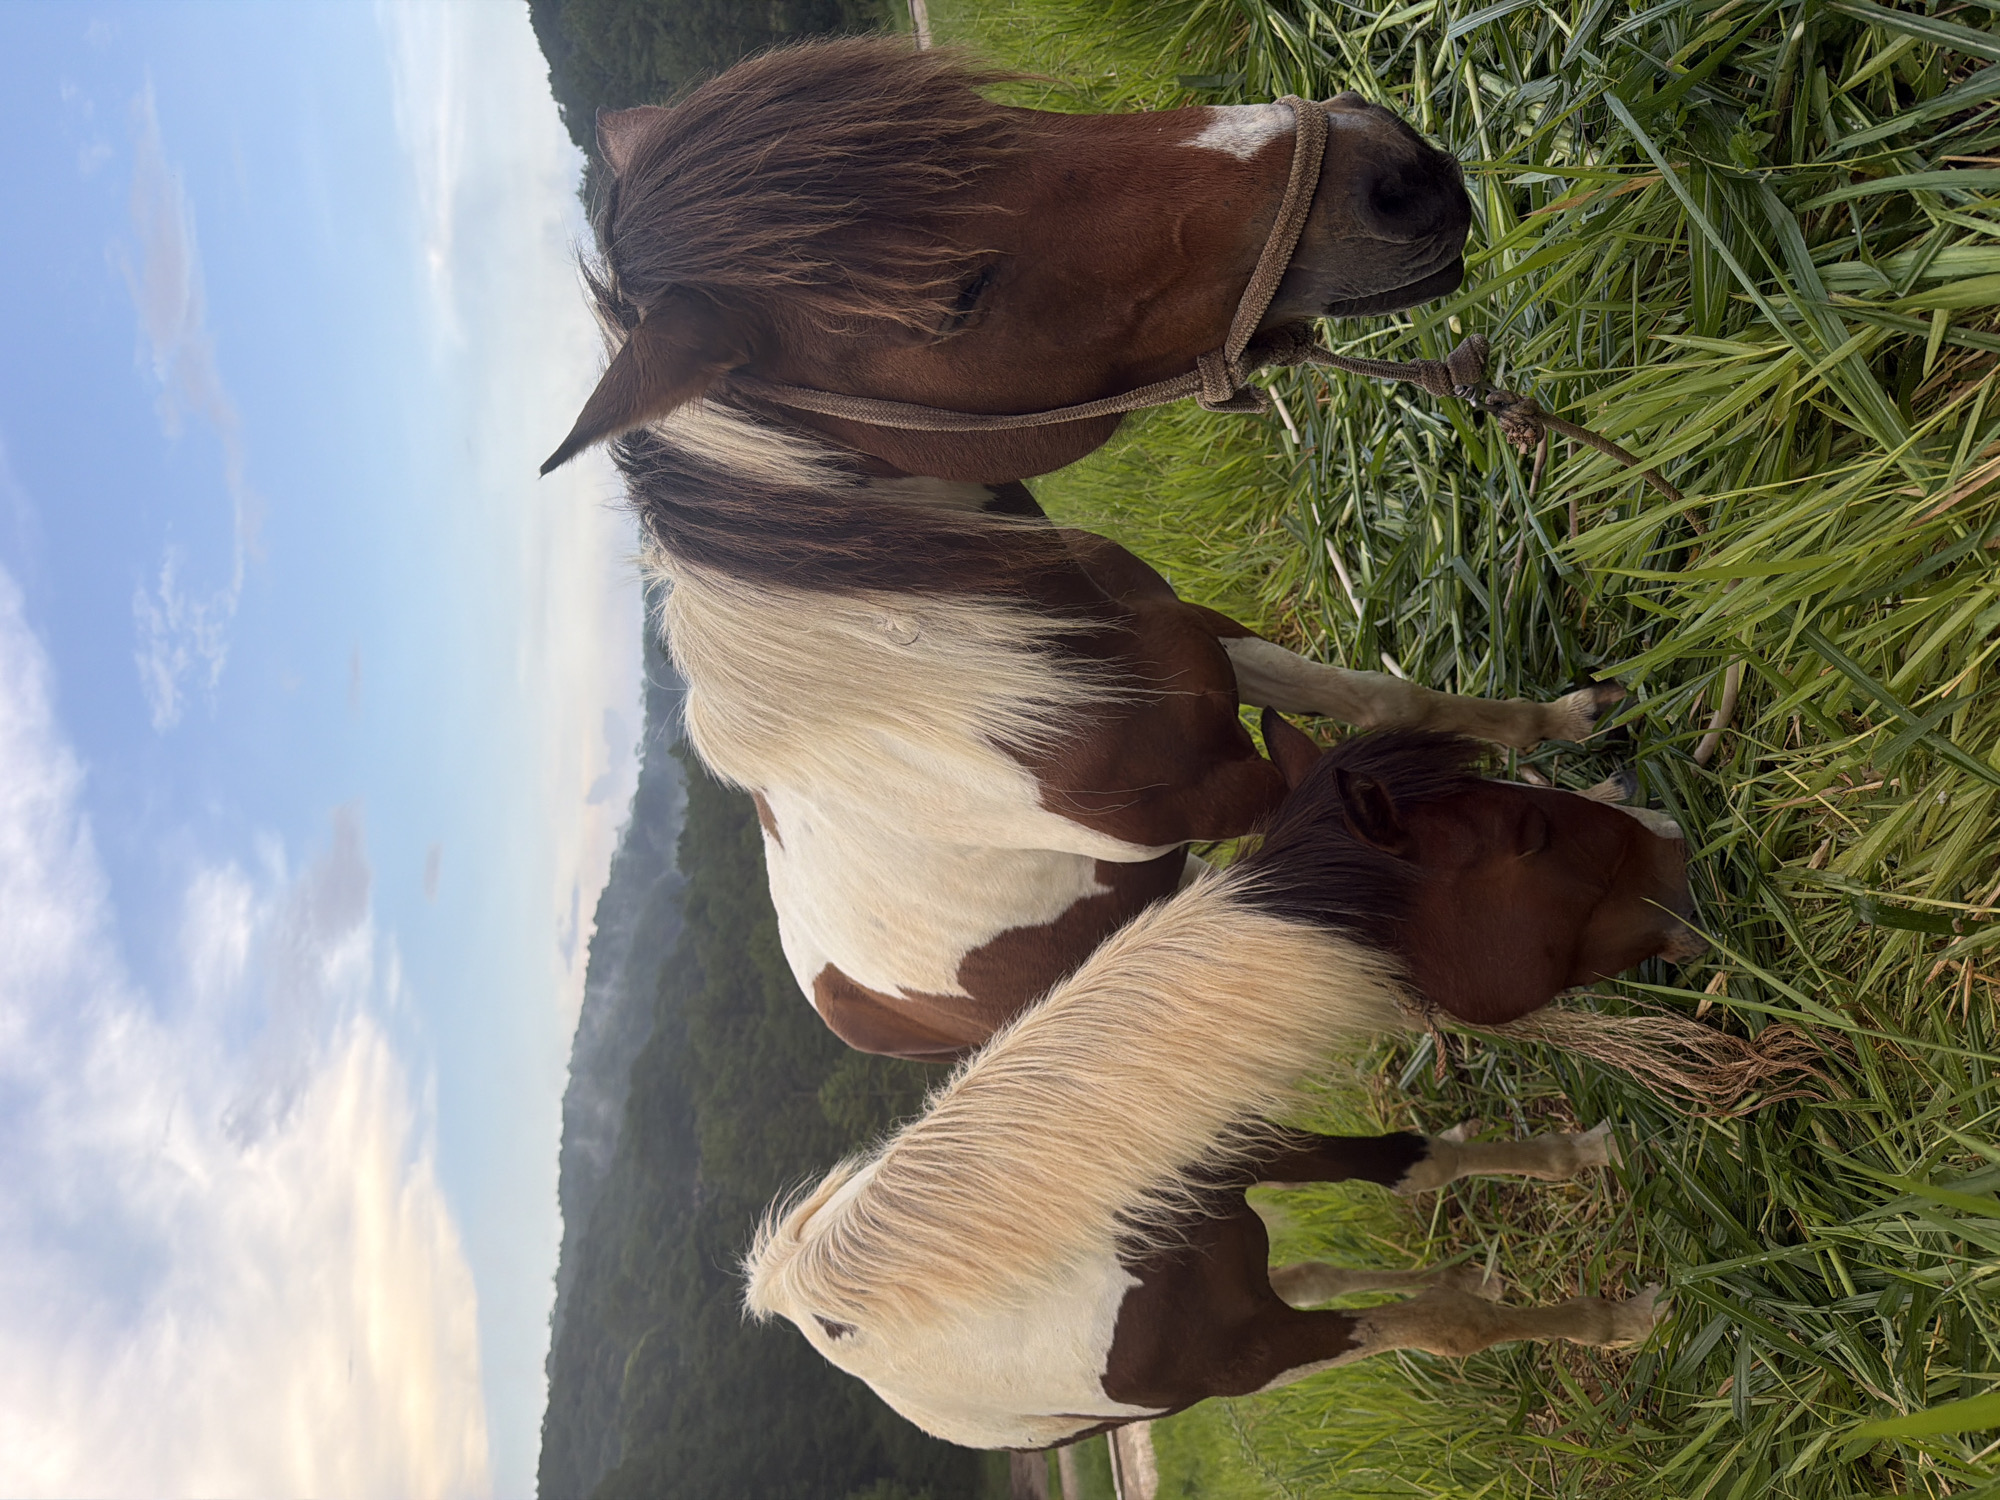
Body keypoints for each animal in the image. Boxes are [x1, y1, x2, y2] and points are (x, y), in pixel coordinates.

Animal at [542, 39, 1623, 1061]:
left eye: (995, 115)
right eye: (956, 299)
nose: (1395, 169)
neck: (984, 655)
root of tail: (831, 991)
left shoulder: (1204, 643)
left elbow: (1390, 702)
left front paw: (1567, 727)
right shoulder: (1236, 788)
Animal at [742, 722, 1701, 1449]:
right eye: (1528, 834)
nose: (1674, 832)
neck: (1067, 1228)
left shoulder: (1223, 1142)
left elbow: (1411, 1164)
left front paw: (1586, 1154)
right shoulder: (1255, 1358)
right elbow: (1443, 1329)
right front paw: (1621, 1323)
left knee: (1310, 1269)